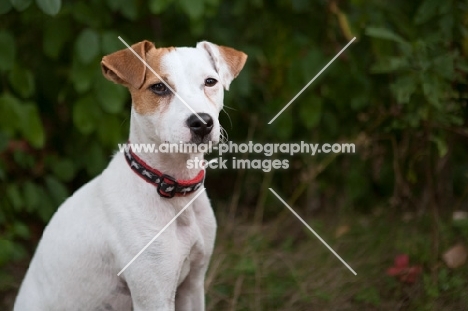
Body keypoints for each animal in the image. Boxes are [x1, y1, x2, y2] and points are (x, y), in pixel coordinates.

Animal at [13, 40, 249, 310]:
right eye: (159, 87)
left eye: (210, 82)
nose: (202, 122)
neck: (172, 189)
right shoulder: (153, 295)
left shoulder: (193, 286)